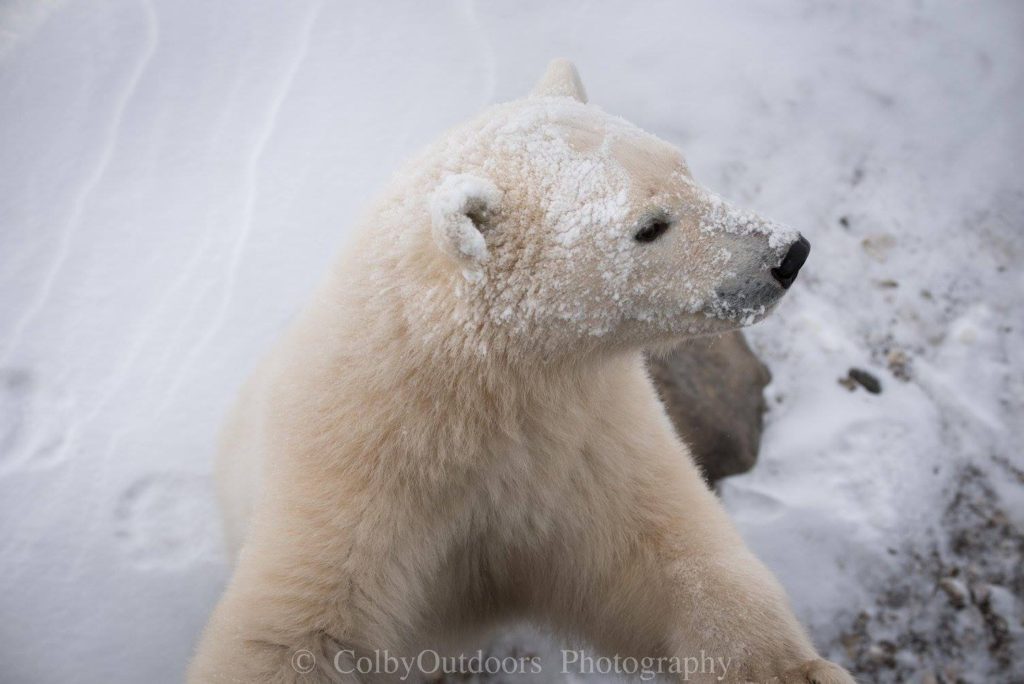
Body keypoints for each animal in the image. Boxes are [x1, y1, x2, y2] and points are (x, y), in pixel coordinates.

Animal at [189, 60, 853, 684]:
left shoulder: (587, 442)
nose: (788, 254)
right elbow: (296, 631)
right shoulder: (354, 475)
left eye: (683, 165)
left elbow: (668, 559)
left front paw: (797, 670)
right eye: (650, 226)